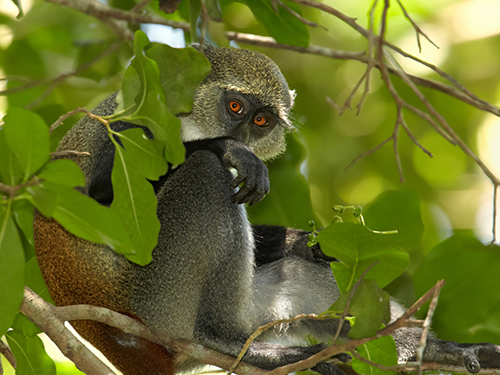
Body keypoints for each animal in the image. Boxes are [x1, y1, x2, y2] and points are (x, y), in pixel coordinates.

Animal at [34, 46, 500, 375]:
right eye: (235, 107)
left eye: (262, 121)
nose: (243, 135)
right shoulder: (136, 123)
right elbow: (102, 204)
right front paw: (229, 149)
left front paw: (305, 240)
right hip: (159, 302)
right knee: (203, 175)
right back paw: (229, 341)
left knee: (301, 274)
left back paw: (428, 350)